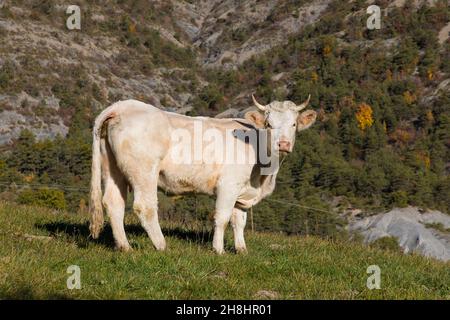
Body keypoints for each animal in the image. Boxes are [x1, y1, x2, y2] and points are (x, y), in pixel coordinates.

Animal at [89, 94, 316, 254]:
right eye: (269, 125)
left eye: (293, 124)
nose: (283, 144)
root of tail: (121, 106)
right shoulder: (228, 186)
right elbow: (222, 218)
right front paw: (218, 250)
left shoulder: (242, 190)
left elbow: (239, 220)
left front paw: (241, 250)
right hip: (144, 171)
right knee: (145, 207)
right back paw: (162, 245)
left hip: (113, 168)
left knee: (113, 203)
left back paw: (124, 247)